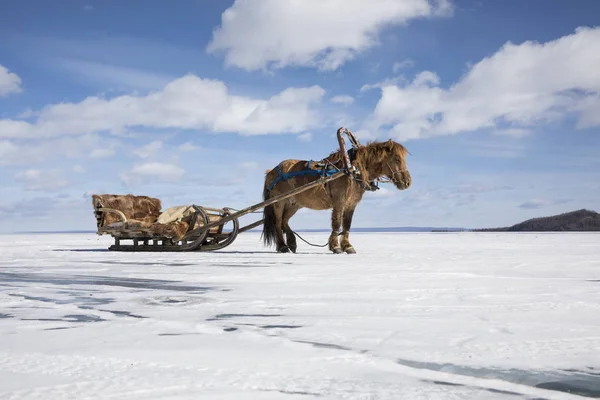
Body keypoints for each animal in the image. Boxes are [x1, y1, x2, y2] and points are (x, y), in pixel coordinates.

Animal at [262, 139, 412, 255]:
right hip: (279, 202)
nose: (407, 182)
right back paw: (282, 246)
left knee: (284, 221)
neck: (353, 170)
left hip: (294, 203)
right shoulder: (339, 201)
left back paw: (292, 243)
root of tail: (271, 171)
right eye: (397, 159)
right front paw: (335, 246)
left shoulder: (351, 203)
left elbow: (347, 224)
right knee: (278, 222)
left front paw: (348, 246)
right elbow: (337, 223)